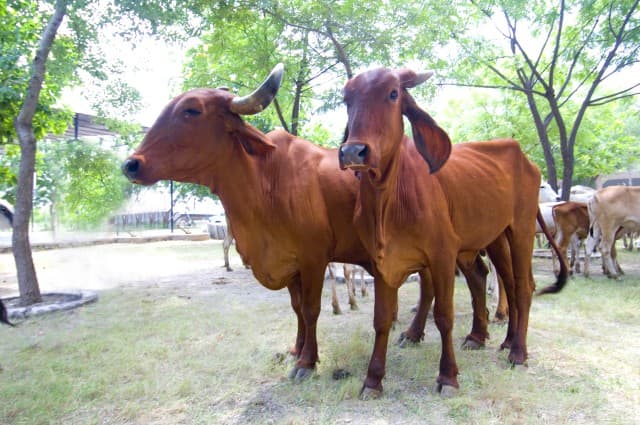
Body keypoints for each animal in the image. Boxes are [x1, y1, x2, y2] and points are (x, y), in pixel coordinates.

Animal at [122, 65, 512, 389]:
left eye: (191, 110)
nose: (131, 164)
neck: (265, 179)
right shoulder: (291, 262)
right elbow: (296, 309)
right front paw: (297, 349)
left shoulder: (312, 258)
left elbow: (310, 309)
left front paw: (307, 362)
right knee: (466, 277)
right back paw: (444, 334)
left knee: (491, 277)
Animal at [338, 67, 567, 398]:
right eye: (347, 99)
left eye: (393, 93)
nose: (353, 151)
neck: (388, 200)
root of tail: (527, 160)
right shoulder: (382, 261)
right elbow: (381, 319)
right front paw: (372, 380)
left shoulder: (442, 255)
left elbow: (443, 315)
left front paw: (447, 376)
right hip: (493, 237)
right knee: (497, 280)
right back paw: (490, 338)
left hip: (521, 228)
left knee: (523, 286)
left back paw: (518, 352)